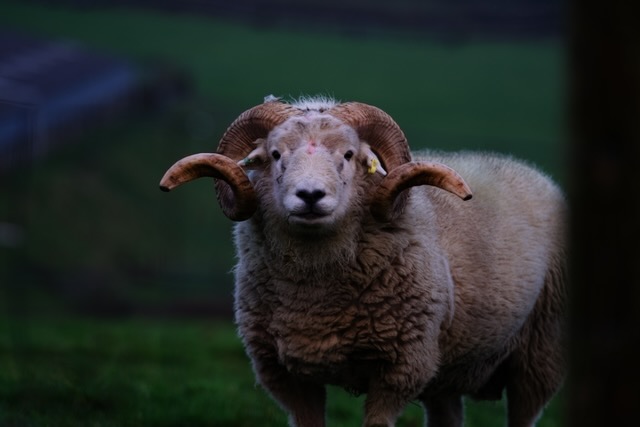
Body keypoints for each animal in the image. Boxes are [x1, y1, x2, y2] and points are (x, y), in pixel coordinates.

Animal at [159, 95, 567, 427]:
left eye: (348, 156)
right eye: (276, 155)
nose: (310, 195)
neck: (315, 298)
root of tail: (525, 168)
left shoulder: (400, 369)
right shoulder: (286, 376)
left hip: (540, 353)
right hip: (446, 370)